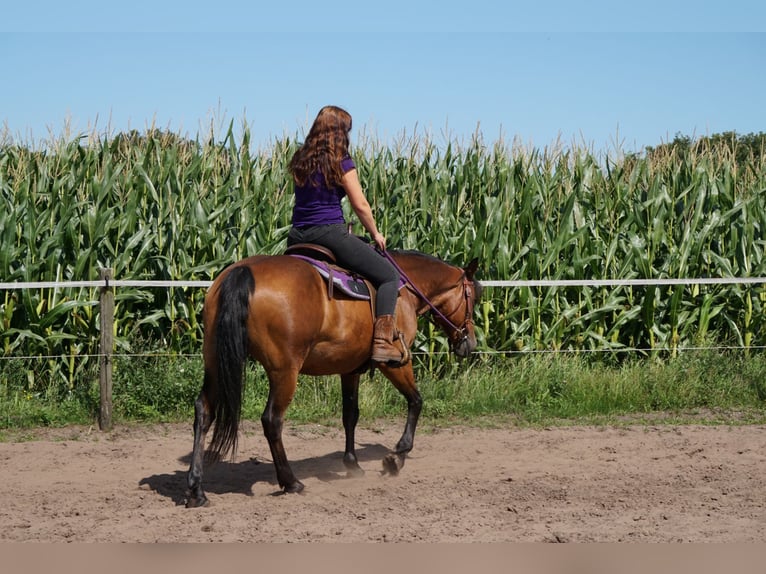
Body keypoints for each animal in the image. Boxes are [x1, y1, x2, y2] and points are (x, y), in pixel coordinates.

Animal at [185, 250, 481, 507]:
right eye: (473, 299)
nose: (471, 343)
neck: (404, 291)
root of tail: (243, 271)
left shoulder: (349, 369)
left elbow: (350, 415)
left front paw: (353, 464)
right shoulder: (395, 363)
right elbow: (416, 401)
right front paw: (396, 457)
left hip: (215, 361)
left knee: (204, 412)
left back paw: (196, 489)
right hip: (285, 372)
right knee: (272, 420)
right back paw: (291, 482)